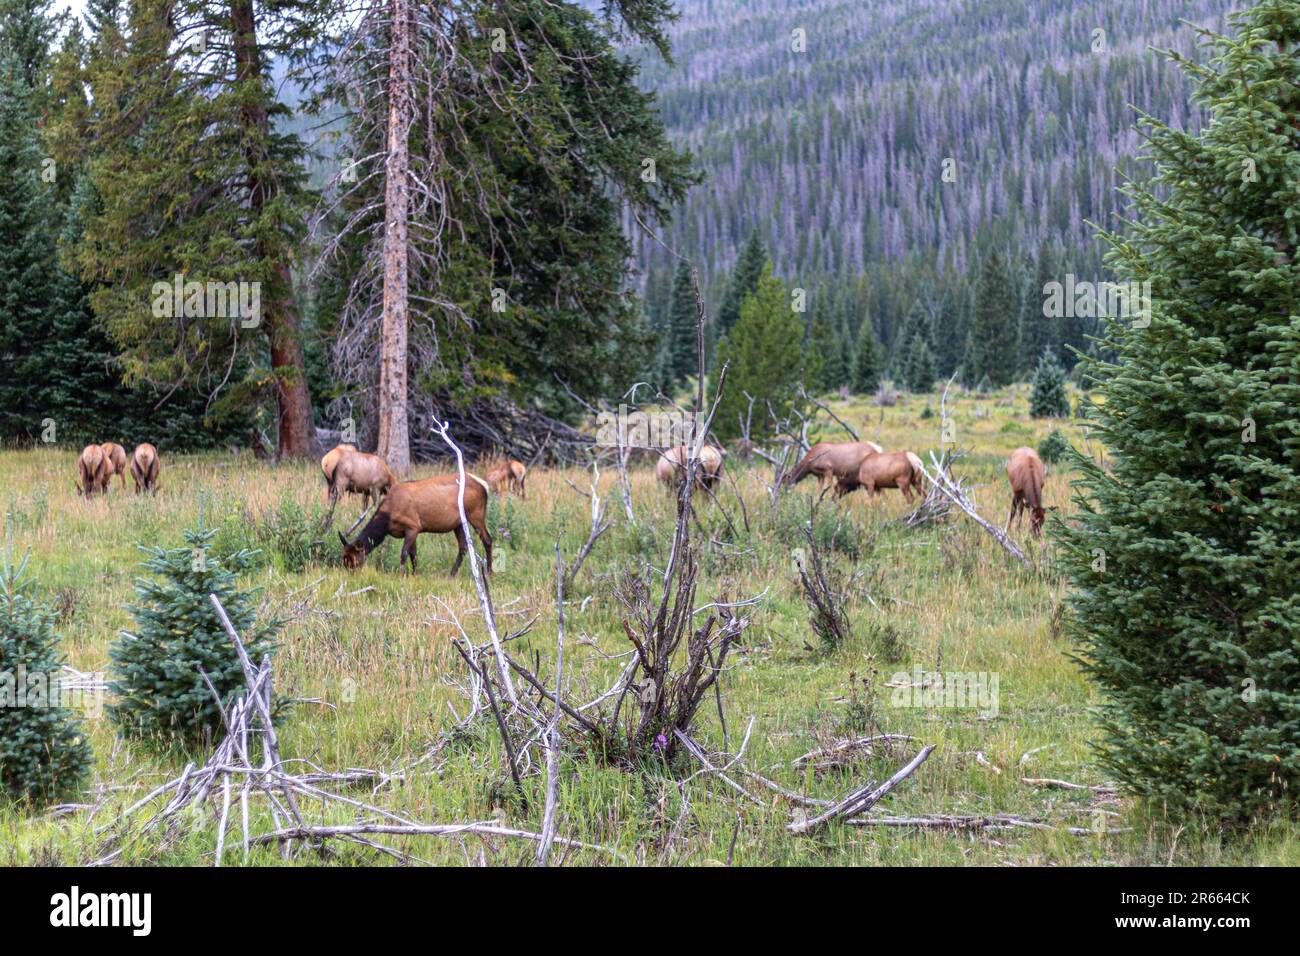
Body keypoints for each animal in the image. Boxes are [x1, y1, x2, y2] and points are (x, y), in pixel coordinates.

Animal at [340, 473, 491, 574]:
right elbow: (414, 555)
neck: (387, 520)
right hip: (458, 523)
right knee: (463, 547)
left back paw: (489, 572)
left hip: (475, 514)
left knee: (487, 539)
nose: (350, 575)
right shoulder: (413, 530)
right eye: (344, 559)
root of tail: (484, 486)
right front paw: (414, 574)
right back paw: (452, 574)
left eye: (354, 561)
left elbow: (404, 553)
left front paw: (402, 574)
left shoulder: (413, 526)